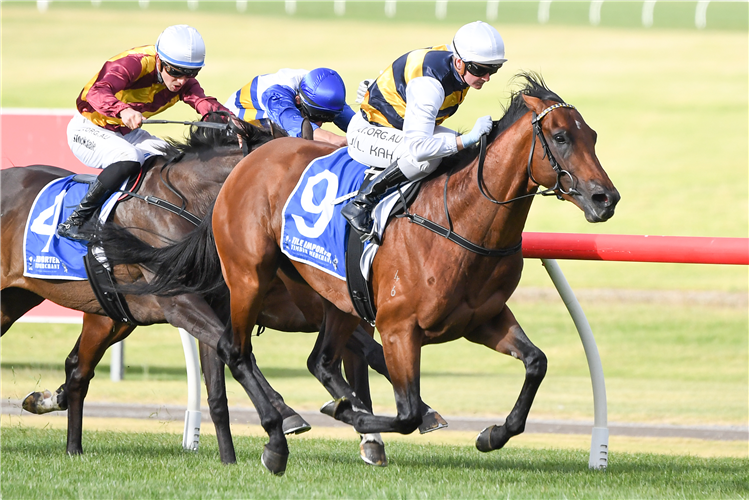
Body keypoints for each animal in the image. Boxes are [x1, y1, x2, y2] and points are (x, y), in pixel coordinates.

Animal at [84, 72, 620, 470]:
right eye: (559, 137)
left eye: (593, 135)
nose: (605, 198)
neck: (460, 222)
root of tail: (250, 161)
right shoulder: (400, 328)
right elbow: (406, 411)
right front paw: (362, 420)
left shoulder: (482, 319)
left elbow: (536, 362)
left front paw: (492, 434)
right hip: (249, 276)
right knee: (236, 351)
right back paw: (279, 438)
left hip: (335, 298)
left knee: (318, 360)